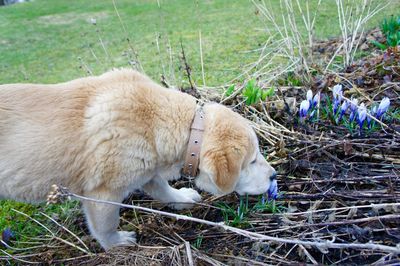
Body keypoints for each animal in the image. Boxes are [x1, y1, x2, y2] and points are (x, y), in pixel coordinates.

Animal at [0, 68, 276, 249]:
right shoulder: (103, 195)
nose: (274, 175)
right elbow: (105, 226)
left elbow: (164, 190)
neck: (157, 119)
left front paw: (182, 198)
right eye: (252, 161)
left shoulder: (148, 172)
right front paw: (116, 244)